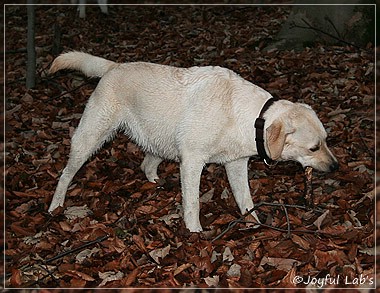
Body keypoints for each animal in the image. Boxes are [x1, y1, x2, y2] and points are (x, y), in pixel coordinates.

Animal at [48, 51, 338, 232]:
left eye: (327, 141)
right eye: (313, 147)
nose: (336, 167)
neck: (248, 117)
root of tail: (114, 67)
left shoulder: (235, 165)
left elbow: (246, 200)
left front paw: (254, 224)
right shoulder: (192, 162)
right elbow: (193, 203)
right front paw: (194, 232)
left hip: (162, 141)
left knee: (146, 164)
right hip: (89, 139)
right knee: (65, 175)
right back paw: (55, 206)